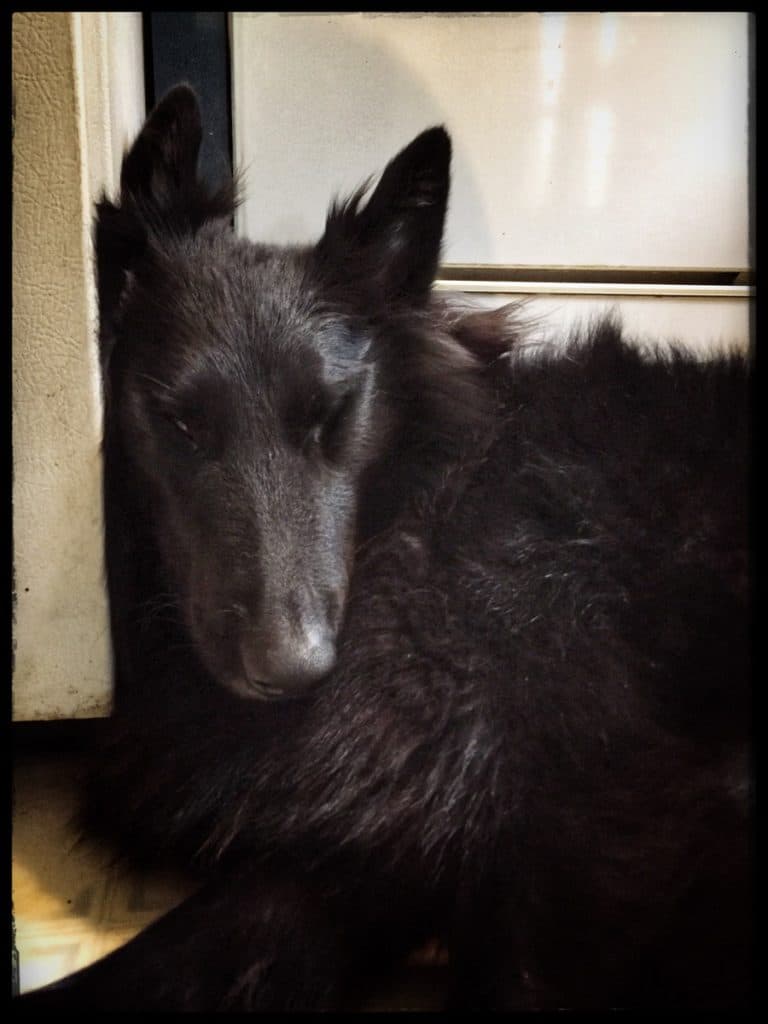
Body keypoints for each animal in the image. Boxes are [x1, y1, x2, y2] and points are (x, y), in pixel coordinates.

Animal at [22, 86, 753, 1007]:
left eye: (332, 414)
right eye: (181, 424)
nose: (292, 669)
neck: (435, 507)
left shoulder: (569, 847)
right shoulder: (364, 857)